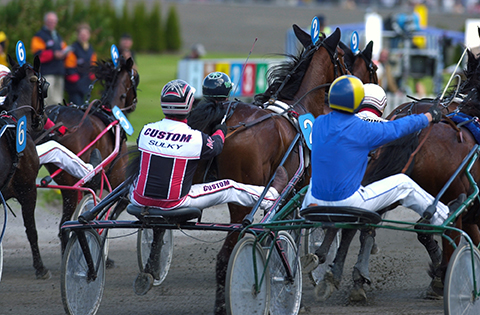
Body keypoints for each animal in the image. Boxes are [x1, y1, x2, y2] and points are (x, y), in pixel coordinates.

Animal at [39, 55, 139, 251]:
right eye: (135, 78)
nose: (134, 103)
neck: (110, 115)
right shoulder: (118, 180)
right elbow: (112, 210)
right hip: (71, 186)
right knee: (64, 227)